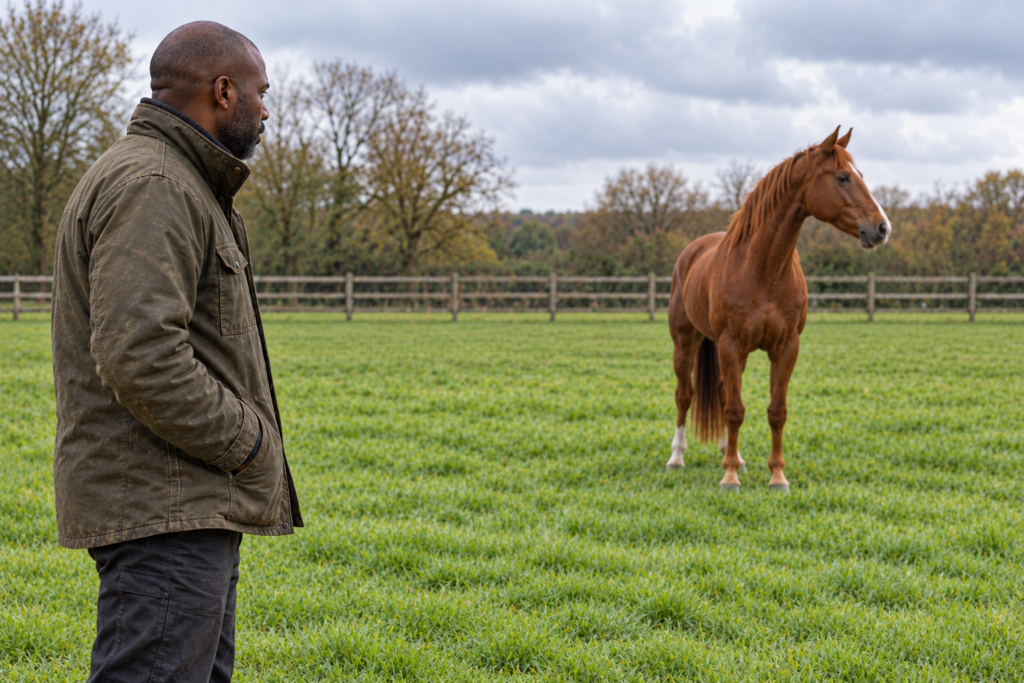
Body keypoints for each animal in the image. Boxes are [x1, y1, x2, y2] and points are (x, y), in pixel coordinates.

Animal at [665, 126, 890, 491]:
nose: (882, 228)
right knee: (685, 395)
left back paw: (732, 455)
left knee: (724, 393)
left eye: (861, 175)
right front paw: (729, 478)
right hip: (686, 342)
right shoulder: (729, 345)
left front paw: (776, 476)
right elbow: (734, 411)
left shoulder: (785, 348)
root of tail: (692, 251)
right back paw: (677, 458)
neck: (764, 269)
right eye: (842, 177)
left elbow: (775, 411)